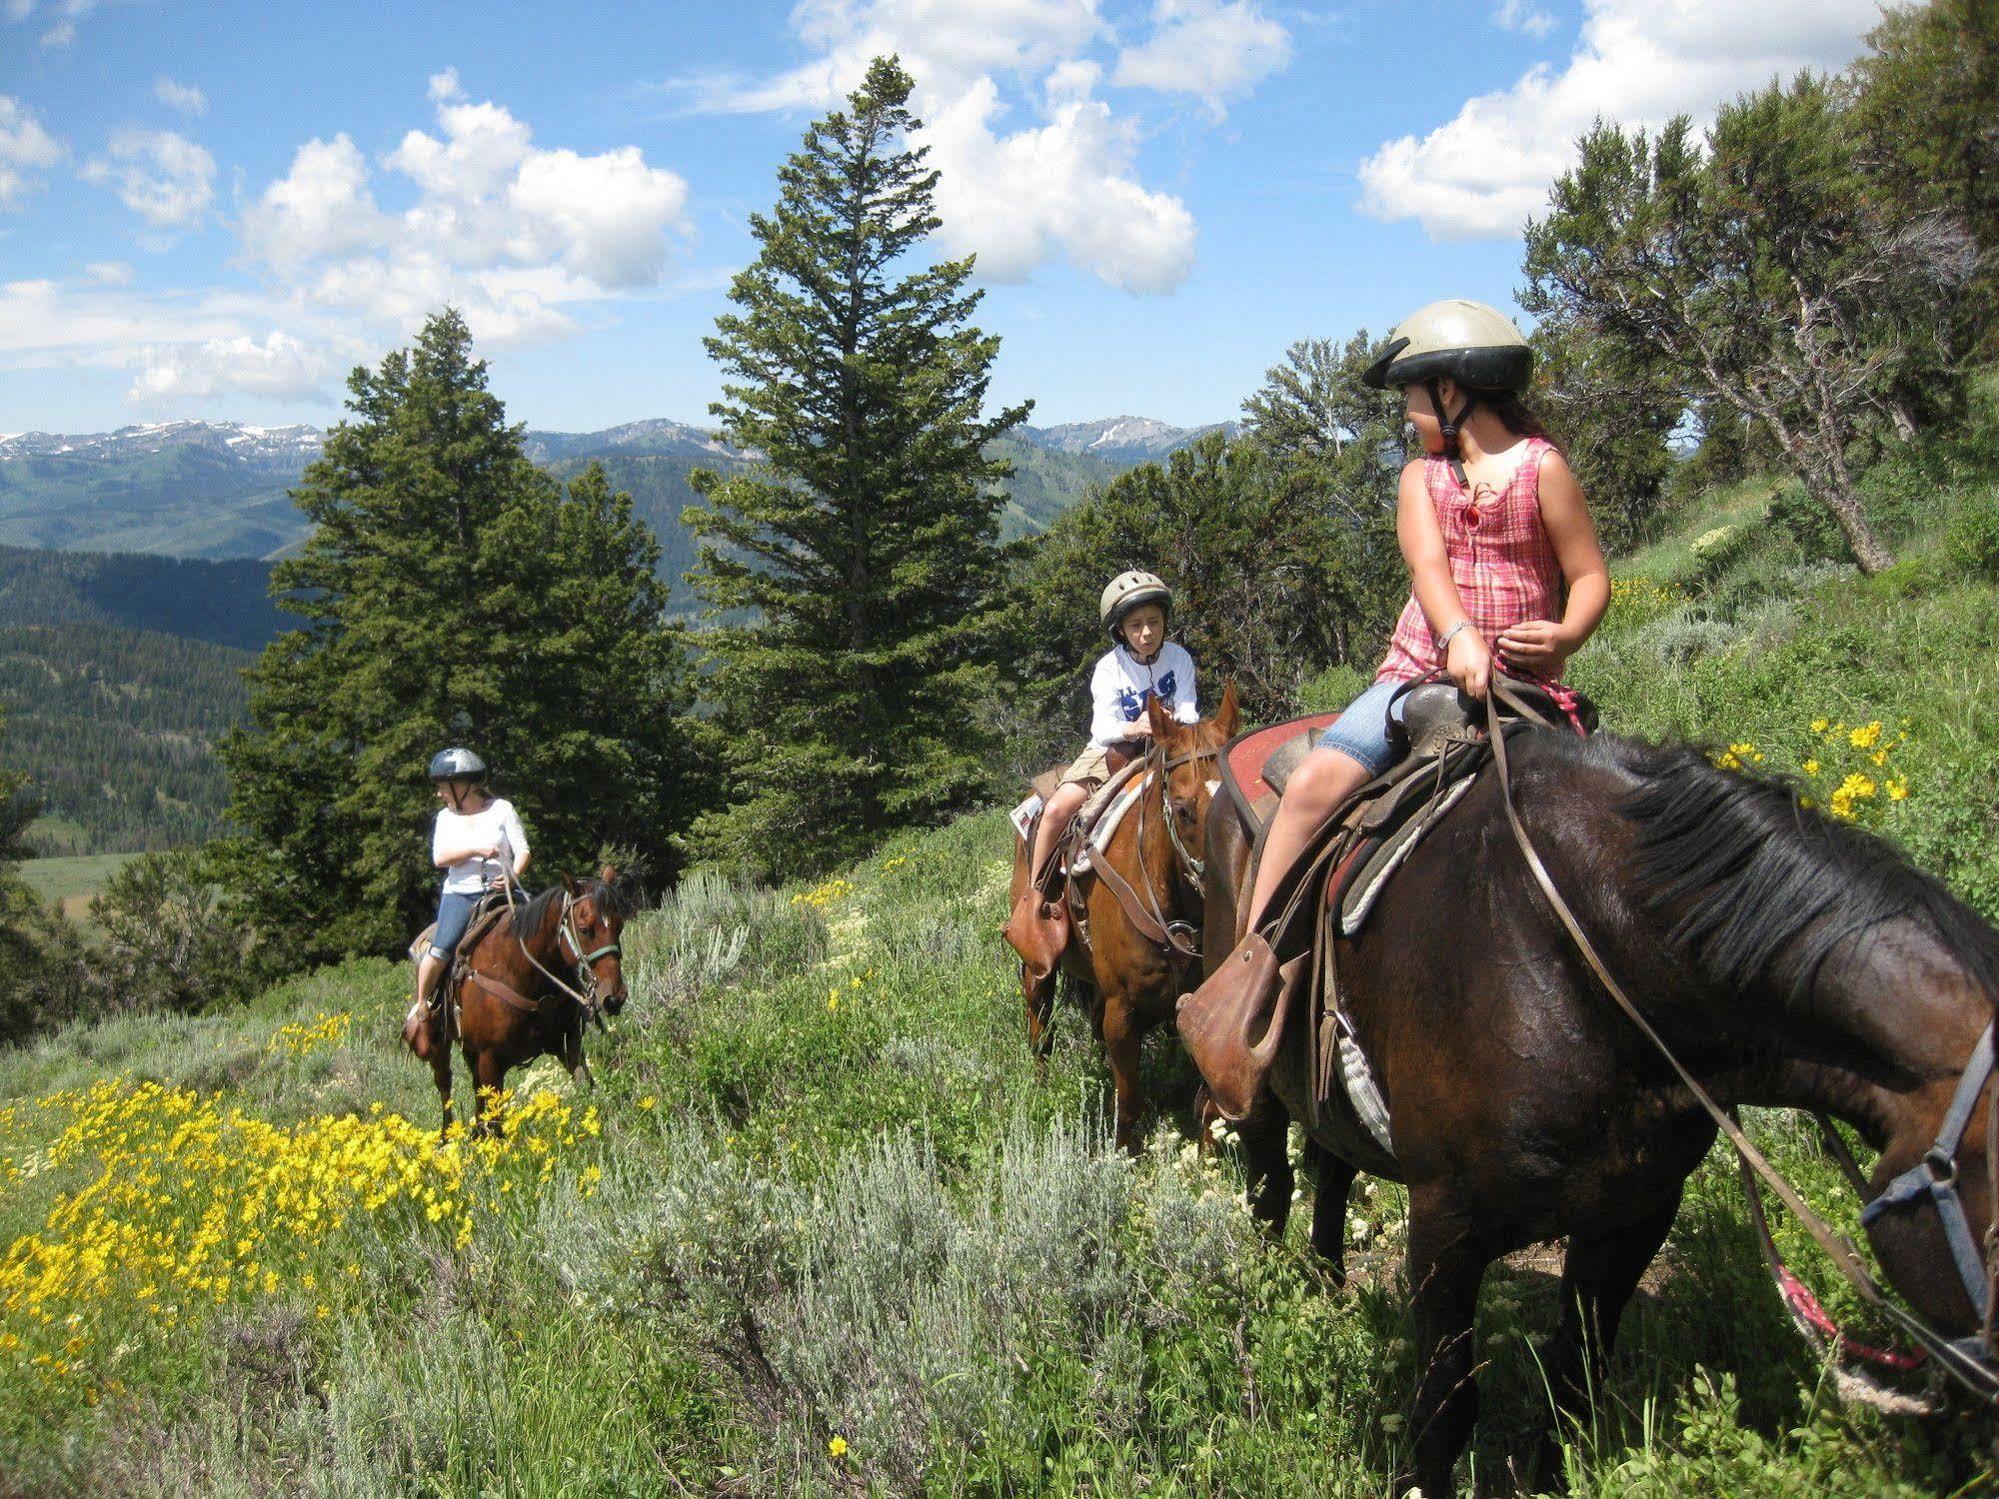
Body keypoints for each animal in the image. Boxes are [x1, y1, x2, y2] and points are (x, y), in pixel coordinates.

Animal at [427, 867, 623, 1135]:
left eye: (620, 924)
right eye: (584, 929)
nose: (614, 997)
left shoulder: (567, 1040)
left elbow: (587, 1085)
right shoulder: (490, 1059)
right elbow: (496, 1126)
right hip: (442, 1045)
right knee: (445, 1085)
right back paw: (448, 1136)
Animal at [1007, 687, 1239, 1159]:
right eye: (1183, 810)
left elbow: (1208, 1099)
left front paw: (1208, 1158)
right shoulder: (1121, 1011)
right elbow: (1129, 1099)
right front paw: (1123, 1158)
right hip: (1038, 972)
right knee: (1040, 1027)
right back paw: (1041, 1087)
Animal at [1199, 727, 1999, 1495]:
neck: (1588, 958)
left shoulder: (1634, 1213)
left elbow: (1575, 1378)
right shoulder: (1444, 1223)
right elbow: (1445, 1403)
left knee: (1330, 1172)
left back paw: (1326, 1290)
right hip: (1256, 1084)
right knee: (1270, 1188)